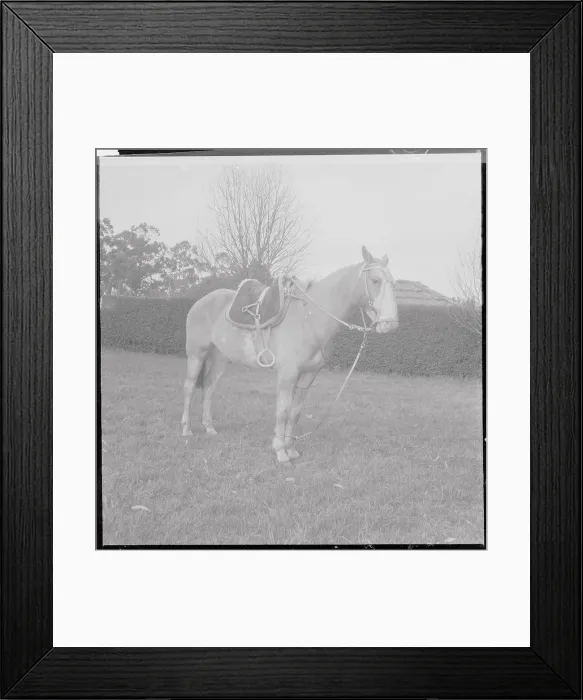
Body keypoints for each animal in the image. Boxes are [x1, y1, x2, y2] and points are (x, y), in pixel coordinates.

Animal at [181, 246, 399, 463]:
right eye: (375, 280)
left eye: (392, 282)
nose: (390, 324)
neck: (309, 318)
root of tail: (201, 302)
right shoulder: (288, 374)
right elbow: (283, 411)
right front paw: (280, 451)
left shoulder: (307, 377)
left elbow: (295, 413)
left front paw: (291, 449)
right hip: (196, 355)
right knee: (189, 388)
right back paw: (187, 430)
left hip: (219, 359)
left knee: (209, 388)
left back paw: (209, 428)